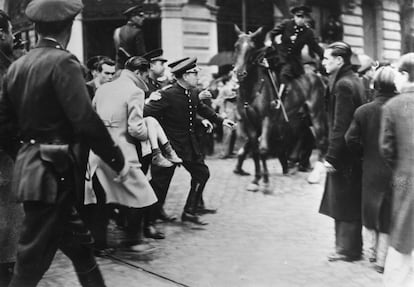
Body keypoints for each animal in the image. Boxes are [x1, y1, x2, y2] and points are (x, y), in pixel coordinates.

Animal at [233, 25, 326, 192]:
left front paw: (266, 181)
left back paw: (314, 173)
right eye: (236, 46)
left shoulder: (266, 120)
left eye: (251, 48)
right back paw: (293, 163)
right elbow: (255, 150)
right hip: (298, 117)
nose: (239, 73)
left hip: (316, 113)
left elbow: (263, 149)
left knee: (320, 139)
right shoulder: (249, 123)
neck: (252, 88)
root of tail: (316, 75)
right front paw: (256, 180)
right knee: (302, 136)